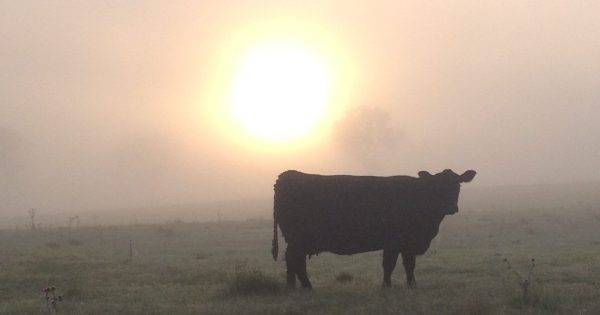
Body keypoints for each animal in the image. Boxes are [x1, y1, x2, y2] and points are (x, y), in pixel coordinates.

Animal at [270, 169, 476, 290]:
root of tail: (287, 175)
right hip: (298, 239)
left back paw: (294, 287)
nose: (450, 207)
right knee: (295, 260)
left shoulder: (407, 243)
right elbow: (390, 264)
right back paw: (305, 287)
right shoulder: (394, 242)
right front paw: (387, 287)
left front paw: (412, 285)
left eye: (457, 186)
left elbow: (409, 265)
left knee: (293, 261)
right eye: (437, 187)